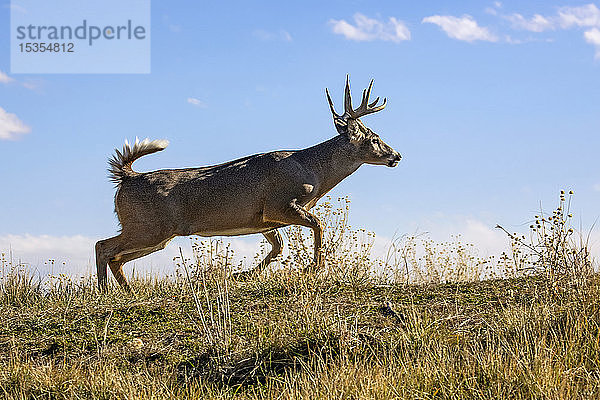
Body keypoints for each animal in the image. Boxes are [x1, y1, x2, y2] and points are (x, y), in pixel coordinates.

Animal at [96, 77, 400, 290]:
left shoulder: (263, 219)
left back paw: (128, 291)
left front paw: (241, 274)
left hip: (158, 235)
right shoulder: (279, 203)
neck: (313, 170)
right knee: (103, 247)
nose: (396, 155)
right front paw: (312, 268)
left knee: (116, 257)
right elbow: (317, 224)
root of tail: (127, 177)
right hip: (148, 226)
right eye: (375, 139)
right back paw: (104, 292)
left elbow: (278, 247)